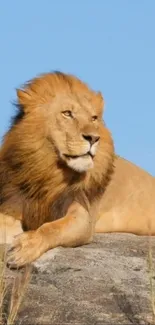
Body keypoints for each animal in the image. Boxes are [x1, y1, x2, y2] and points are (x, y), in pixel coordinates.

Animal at [0, 72, 154, 268]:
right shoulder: (15, 204)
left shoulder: (83, 215)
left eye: (93, 118)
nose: (93, 138)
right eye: (67, 113)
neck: (50, 171)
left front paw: (24, 247)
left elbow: (51, 228)